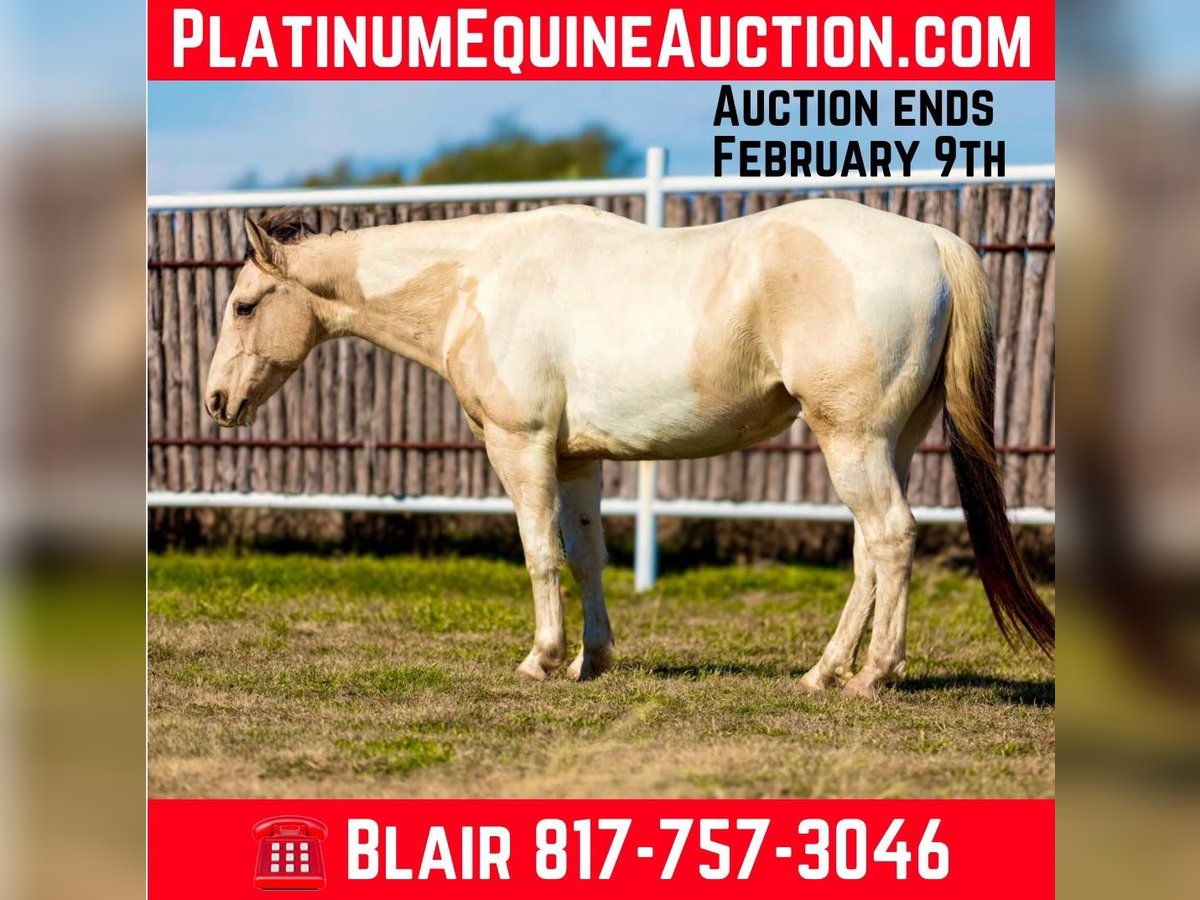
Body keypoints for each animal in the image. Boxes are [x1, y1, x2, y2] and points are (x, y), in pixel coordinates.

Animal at [205, 199, 1054, 698]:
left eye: (244, 305)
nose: (215, 402)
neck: (477, 281)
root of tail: (933, 240)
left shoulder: (521, 449)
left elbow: (540, 554)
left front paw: (543, 659)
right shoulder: (577, 460)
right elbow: (587, 557)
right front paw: (593, 659)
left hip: (853, 442)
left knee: (892, 538)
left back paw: (871, 676)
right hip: (888, 444)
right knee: (870, 554)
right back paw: (823, 672)